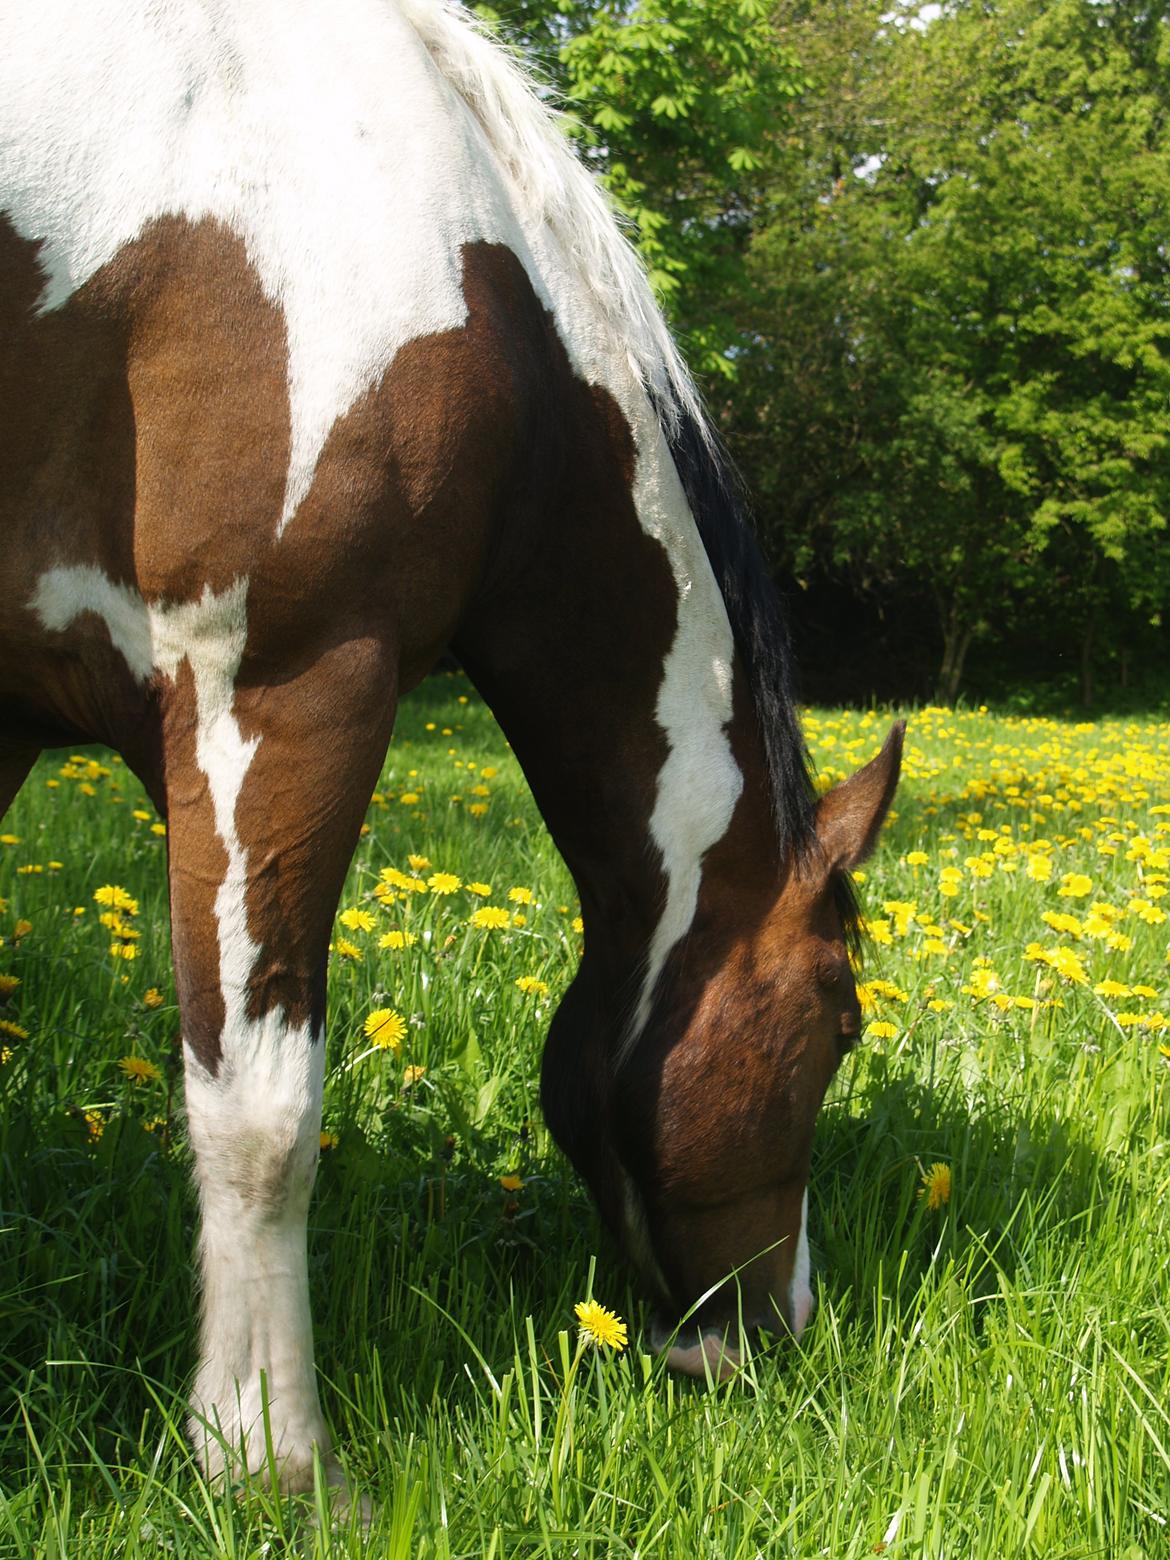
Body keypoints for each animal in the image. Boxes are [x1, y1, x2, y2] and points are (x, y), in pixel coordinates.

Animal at [0, 0, 904, 1497]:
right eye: (839, 1022)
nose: (778, 1331)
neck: (476, 265)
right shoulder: (282, 688)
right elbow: (260, 1113)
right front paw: (267, 1456)